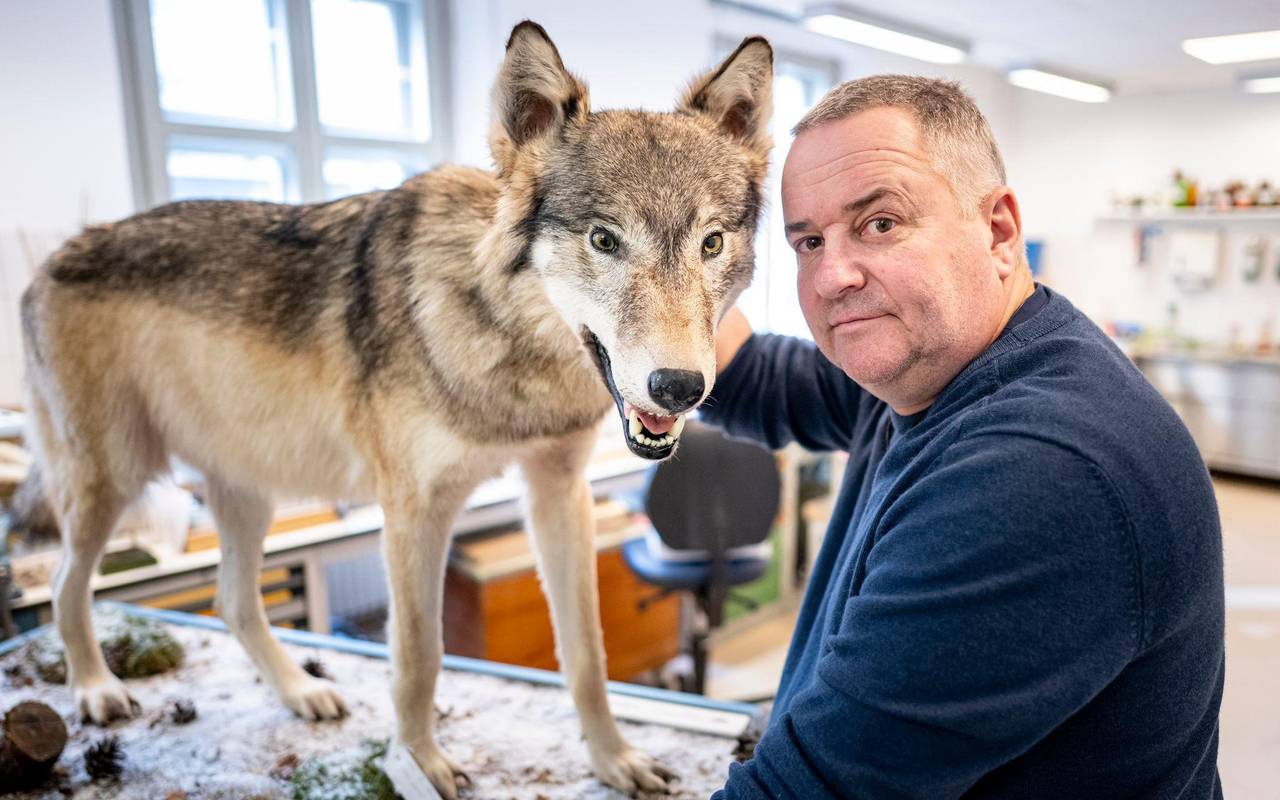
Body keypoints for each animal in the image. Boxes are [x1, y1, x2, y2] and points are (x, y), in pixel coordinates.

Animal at [16, 21, 772, 797]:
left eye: (712, 243)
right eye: (604, 239)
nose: (679, 387)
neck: (504, 337)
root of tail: (52, 259)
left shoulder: (559, 493)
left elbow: (588, 652)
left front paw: (614, 760)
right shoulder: (414, 511)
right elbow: (419, 655)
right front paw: (421, 763)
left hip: (245, 493)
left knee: (232, 601)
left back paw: (301, 692)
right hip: (113, 481)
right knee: (65, 585)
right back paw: (96, 688)